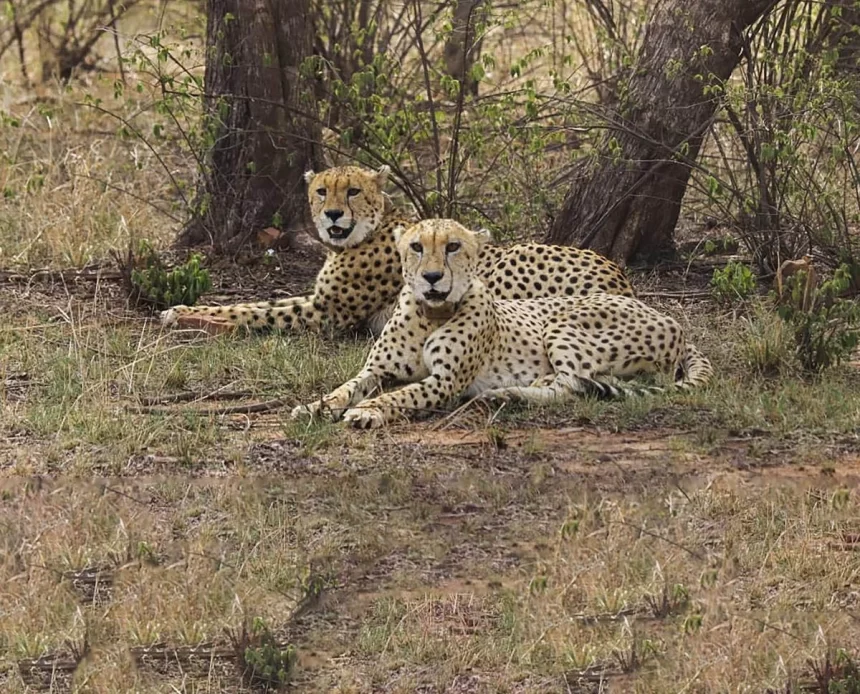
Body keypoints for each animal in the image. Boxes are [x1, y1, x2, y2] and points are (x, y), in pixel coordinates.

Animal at [160, 164, 632, 338]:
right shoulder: (318, 300)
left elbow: (252, 311)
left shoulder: (327, 313)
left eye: (352, 191)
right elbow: (257, 302)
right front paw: (183, 308)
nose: (332, 214)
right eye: (321, 191)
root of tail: (619, 276)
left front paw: (189, 317)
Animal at [296, 222, 712, 430]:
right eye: (416, 247)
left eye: (453, 246)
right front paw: (315, 407)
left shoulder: (445, 382)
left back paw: (509, 393)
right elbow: (346, 387)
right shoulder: (376, 369)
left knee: (572, 385)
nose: (432, 277)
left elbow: (402, 394)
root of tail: (670, 319)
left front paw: (368, 411)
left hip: (561, 322)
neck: (430, 313)